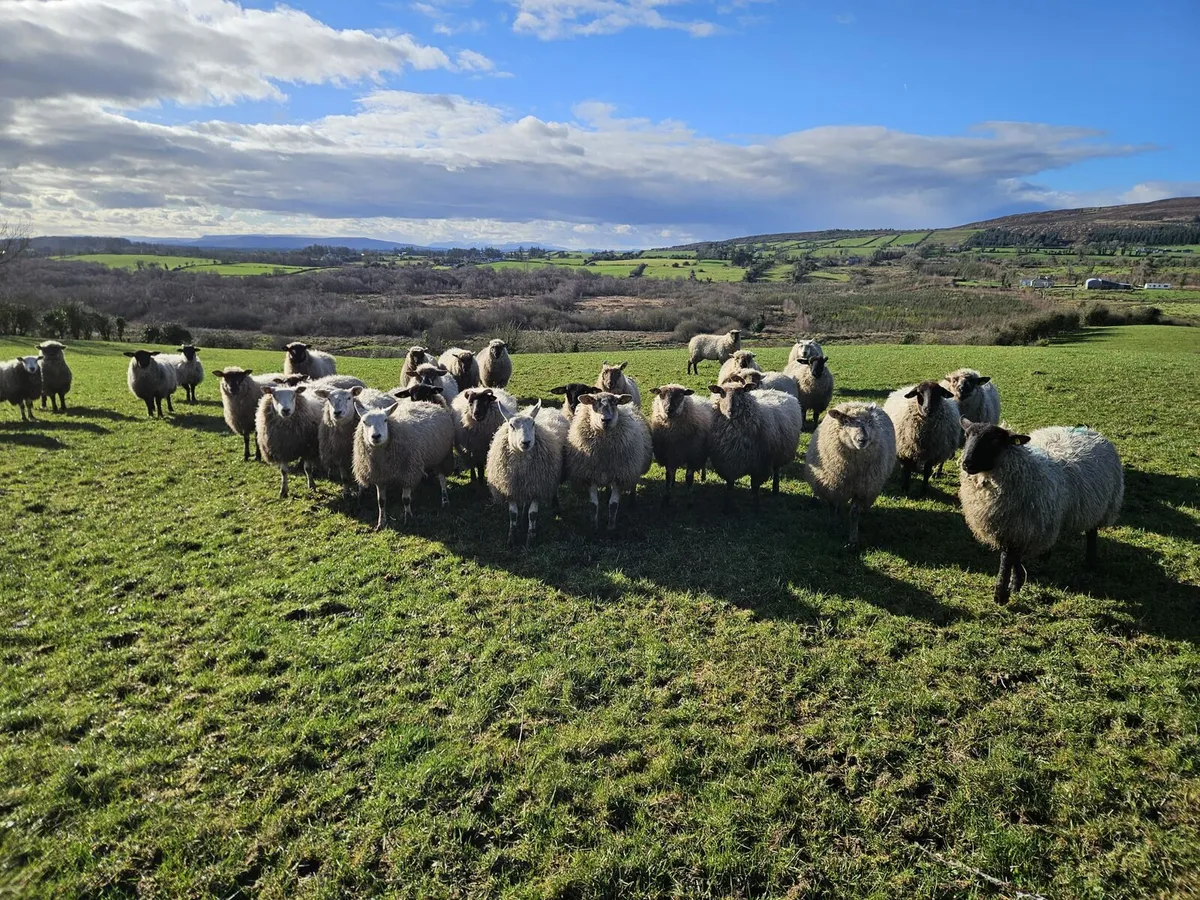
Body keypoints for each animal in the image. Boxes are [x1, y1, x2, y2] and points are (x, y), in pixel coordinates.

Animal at [351, 386, 456, 530]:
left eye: (385, 420)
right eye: (364, 421)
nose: (376, 436)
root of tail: (428, 403)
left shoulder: (408, 473)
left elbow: (406, 500)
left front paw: (408, 518)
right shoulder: (379, 477)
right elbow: (381, 502)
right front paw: (381, 523)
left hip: (441, 456)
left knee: (442, 478)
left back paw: (445, 500)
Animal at [486, 400, 565, 547]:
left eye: (533, 424)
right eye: (511, 425)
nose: (526, 442)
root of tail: (548, 408)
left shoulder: (537, 487)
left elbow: (532, 514)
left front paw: (530, 539)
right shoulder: (510, 488)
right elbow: (513, 514)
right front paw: (512, 537)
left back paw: (555, 505)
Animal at [566, 391, 652, 531]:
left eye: (615, 403)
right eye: (593, 403)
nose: (606, 420)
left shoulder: (619, 476)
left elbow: (613, 504)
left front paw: (611, 527)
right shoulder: (590, 476)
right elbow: (593, 504)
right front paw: (594, 526)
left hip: (632, 468)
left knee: (633, 484)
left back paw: (632, 501)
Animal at [804, 402, 896, 549]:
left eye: (869, 422)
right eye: (846, 421)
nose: (862, 440)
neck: (852, 471)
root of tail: (859, 402)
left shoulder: (861, 489)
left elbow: (854, 513)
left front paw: (853, 539)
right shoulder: (831, 486)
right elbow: (832, 506)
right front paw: (832, 526)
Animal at [959, 420, 1124, 604]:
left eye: (994, 440)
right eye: (966, 435)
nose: (966, 463)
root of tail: (1091, 431)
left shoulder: (1019, 526)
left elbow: (1007, 558)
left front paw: (1001, 595)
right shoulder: (1012, 528)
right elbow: (1014, 556)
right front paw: (1017, 582)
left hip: (1099, 507)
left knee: (1092, 533)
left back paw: (1090, 562)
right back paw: (1046, 555)